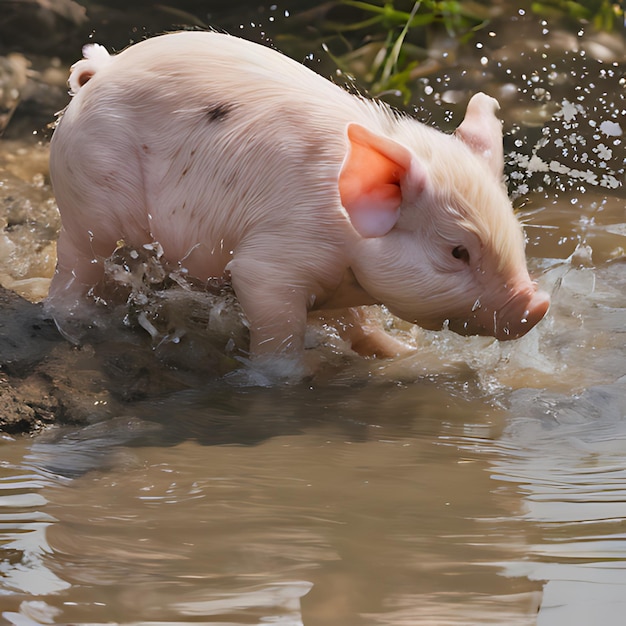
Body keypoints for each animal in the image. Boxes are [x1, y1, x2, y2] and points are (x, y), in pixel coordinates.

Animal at [47, 31, 544, 364]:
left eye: (518, 239)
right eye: (458, 251)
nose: (536, 305)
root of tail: (102, 69)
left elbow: (360, 325)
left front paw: (402, 355)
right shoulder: (273, 261)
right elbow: (278, 334)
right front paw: (275, 380)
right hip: (89, 198)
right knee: (75, 258)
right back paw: (79, 324)